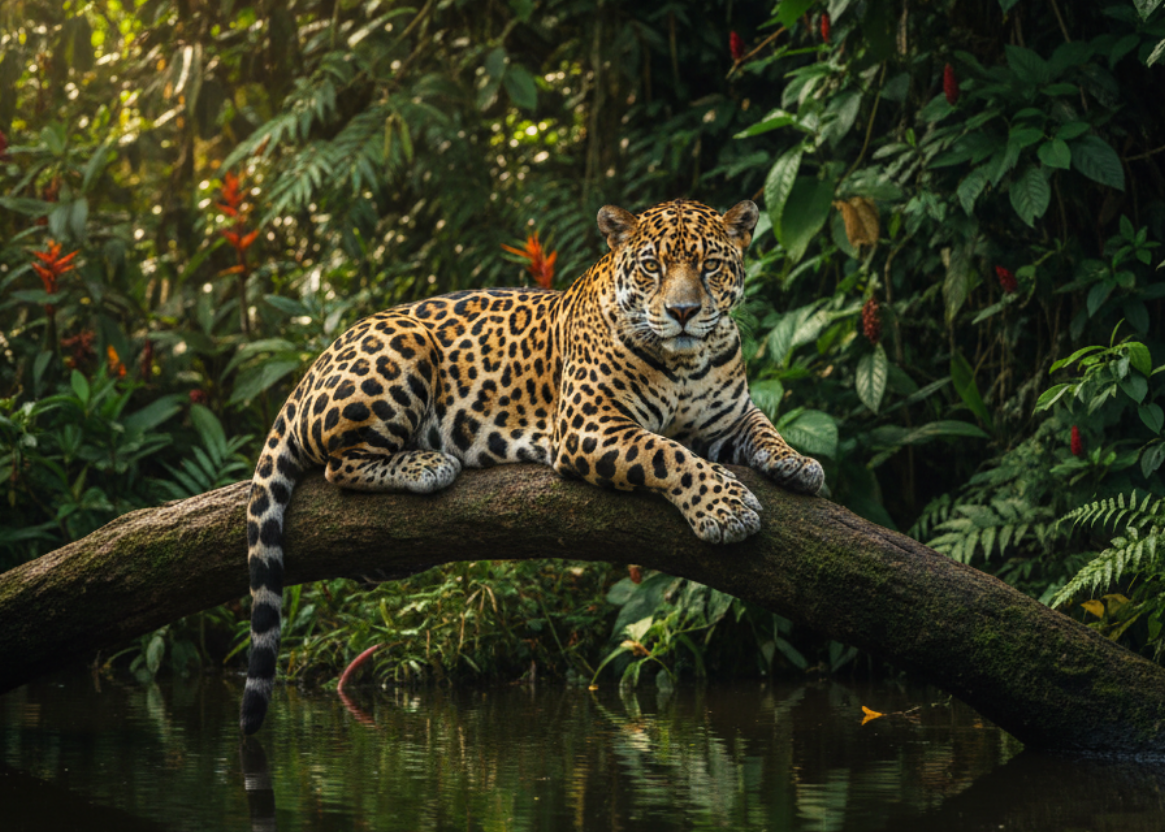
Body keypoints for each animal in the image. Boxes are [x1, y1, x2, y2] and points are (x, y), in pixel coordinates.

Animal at [240, 198, 824, 734]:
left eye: (710, 266)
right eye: (651, 267)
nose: (682, 312)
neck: (684, 359)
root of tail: (312, 368)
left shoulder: (729, 417)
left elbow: (765, 428)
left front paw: (799, 464)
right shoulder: (591, 424)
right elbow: (667, 453)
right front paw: (725, 510)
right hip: (402, 344)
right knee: (340, 465)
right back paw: (426, 465)